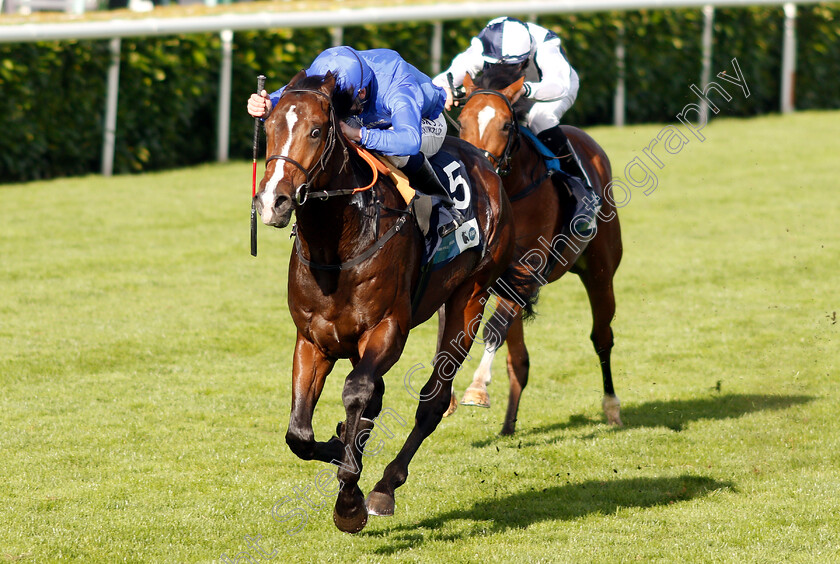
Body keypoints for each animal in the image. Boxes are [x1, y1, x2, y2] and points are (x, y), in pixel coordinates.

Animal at [254, 70, 520, 532]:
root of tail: (487, 164)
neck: (337, 247)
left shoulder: (387, 330)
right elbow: (299, 435)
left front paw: (350, 501)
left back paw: (384, 487)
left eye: (316, 130)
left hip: (470, 297)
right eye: (269, 128)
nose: (272, 202)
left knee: (433, 401)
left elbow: (357, 389)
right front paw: (338, 442)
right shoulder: (312, 340)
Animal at [452, 67, 624, 436]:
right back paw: (508, 425)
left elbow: (491, 330)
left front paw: (476, 388)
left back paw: (612, 408)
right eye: (461, 122)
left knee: (602, 338)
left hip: (601, 273)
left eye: (506, 125)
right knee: (519, 359)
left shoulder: (525, 271)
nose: (479, 172)